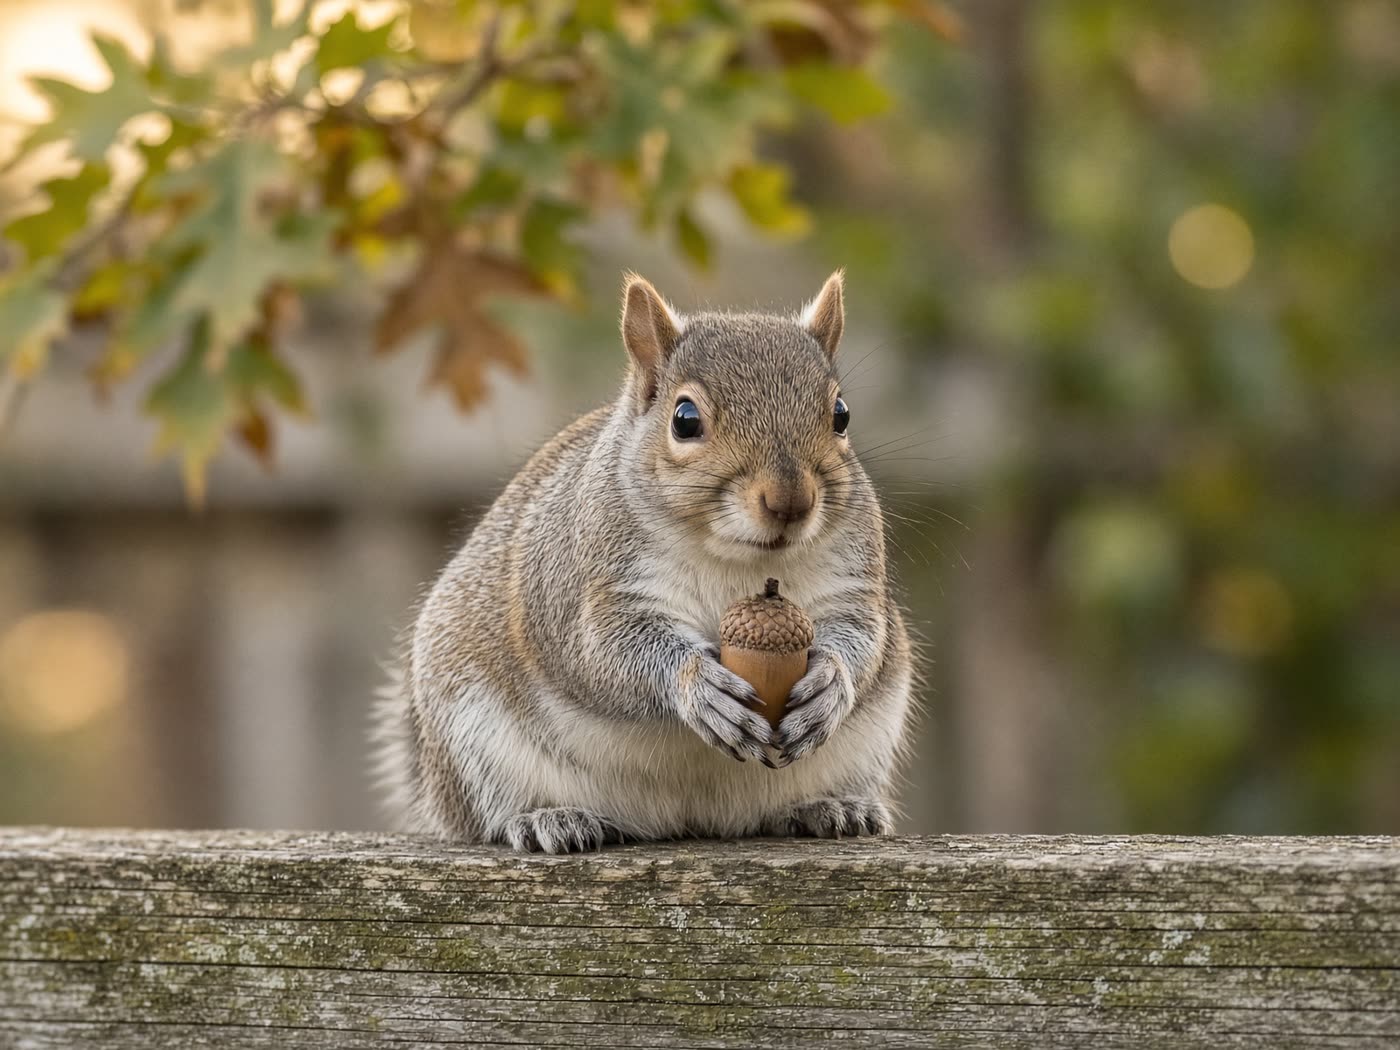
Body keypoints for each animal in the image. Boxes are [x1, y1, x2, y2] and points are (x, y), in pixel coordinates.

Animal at [372, 271, 913, 852]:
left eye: (841, 415)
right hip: (472, 735)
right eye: (685, 419)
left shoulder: (852, 577)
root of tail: (691, 820)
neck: (738, 559)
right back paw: (545, 818)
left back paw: (830, 807)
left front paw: (831, 682)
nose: (791, 502)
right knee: (484, 816)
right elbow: (609, 652)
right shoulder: (591, 587)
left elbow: (862, 637)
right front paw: (696, 685)